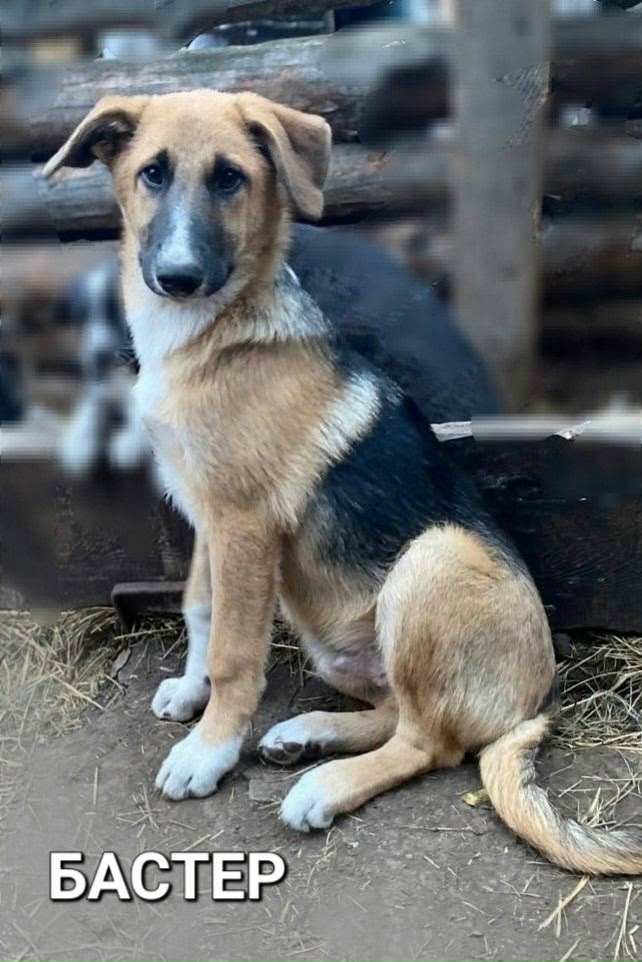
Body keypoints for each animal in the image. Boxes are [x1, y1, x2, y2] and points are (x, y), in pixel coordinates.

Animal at [45, 90, 642, 875]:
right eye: (151, 173)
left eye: (230, 178)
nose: (177, 277)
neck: (214, 336)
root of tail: (535, 704)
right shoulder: (207, 512)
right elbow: (201, 609)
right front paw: (191, 692)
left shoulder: (243, 525)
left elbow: (236, 653)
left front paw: (209, 751)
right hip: (336, 642)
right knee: (396, 713)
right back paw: (309, 734)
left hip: (431, 560)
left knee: (430, 743)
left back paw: (323, 785)